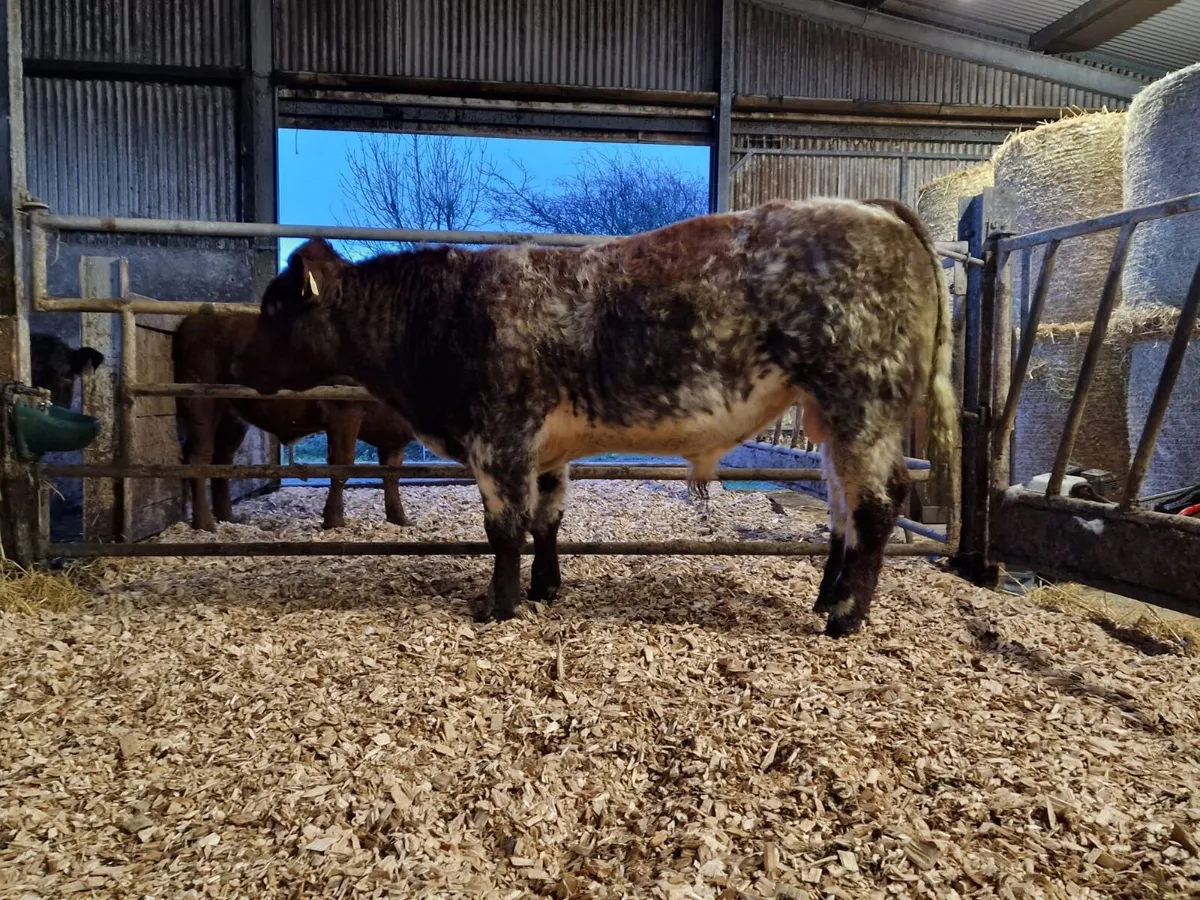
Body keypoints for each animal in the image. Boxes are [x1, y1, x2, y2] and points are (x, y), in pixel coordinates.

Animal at [173, 309, 415, 532]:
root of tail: (197, 317)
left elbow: (392, 473)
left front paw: (399, 518)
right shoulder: (344, 411)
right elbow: (342, 464)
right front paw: (334, 521)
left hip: (232, 417)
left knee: (222, 459)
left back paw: (227, 518)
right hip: (201, 404)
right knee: (198, 456)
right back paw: (204, 523)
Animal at [234, 197, 959, 637]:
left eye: (274, 308)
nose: (242, 368)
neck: (445, 313)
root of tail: (874, 208)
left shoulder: (499, 439)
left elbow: (504, 528)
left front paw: (498, 605)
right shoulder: (546, 449)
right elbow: (547, 520)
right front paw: (545, 589)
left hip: (863, 405)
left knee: (877, 504)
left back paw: (844, 615)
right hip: (830, 419)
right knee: (842, 508)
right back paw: (826, 595)